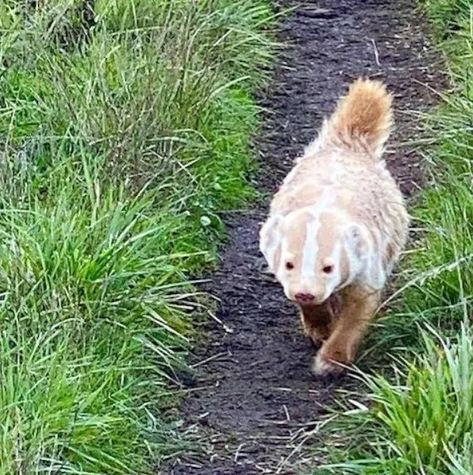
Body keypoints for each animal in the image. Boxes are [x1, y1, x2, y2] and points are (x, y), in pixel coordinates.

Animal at [260, 79, 408, 376]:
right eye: (289, 263)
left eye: (329, 267)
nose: (305, 292)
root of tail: (348, 143)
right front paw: (319, 327)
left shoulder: (369, 259)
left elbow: (359, 307)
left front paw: (331, 360)